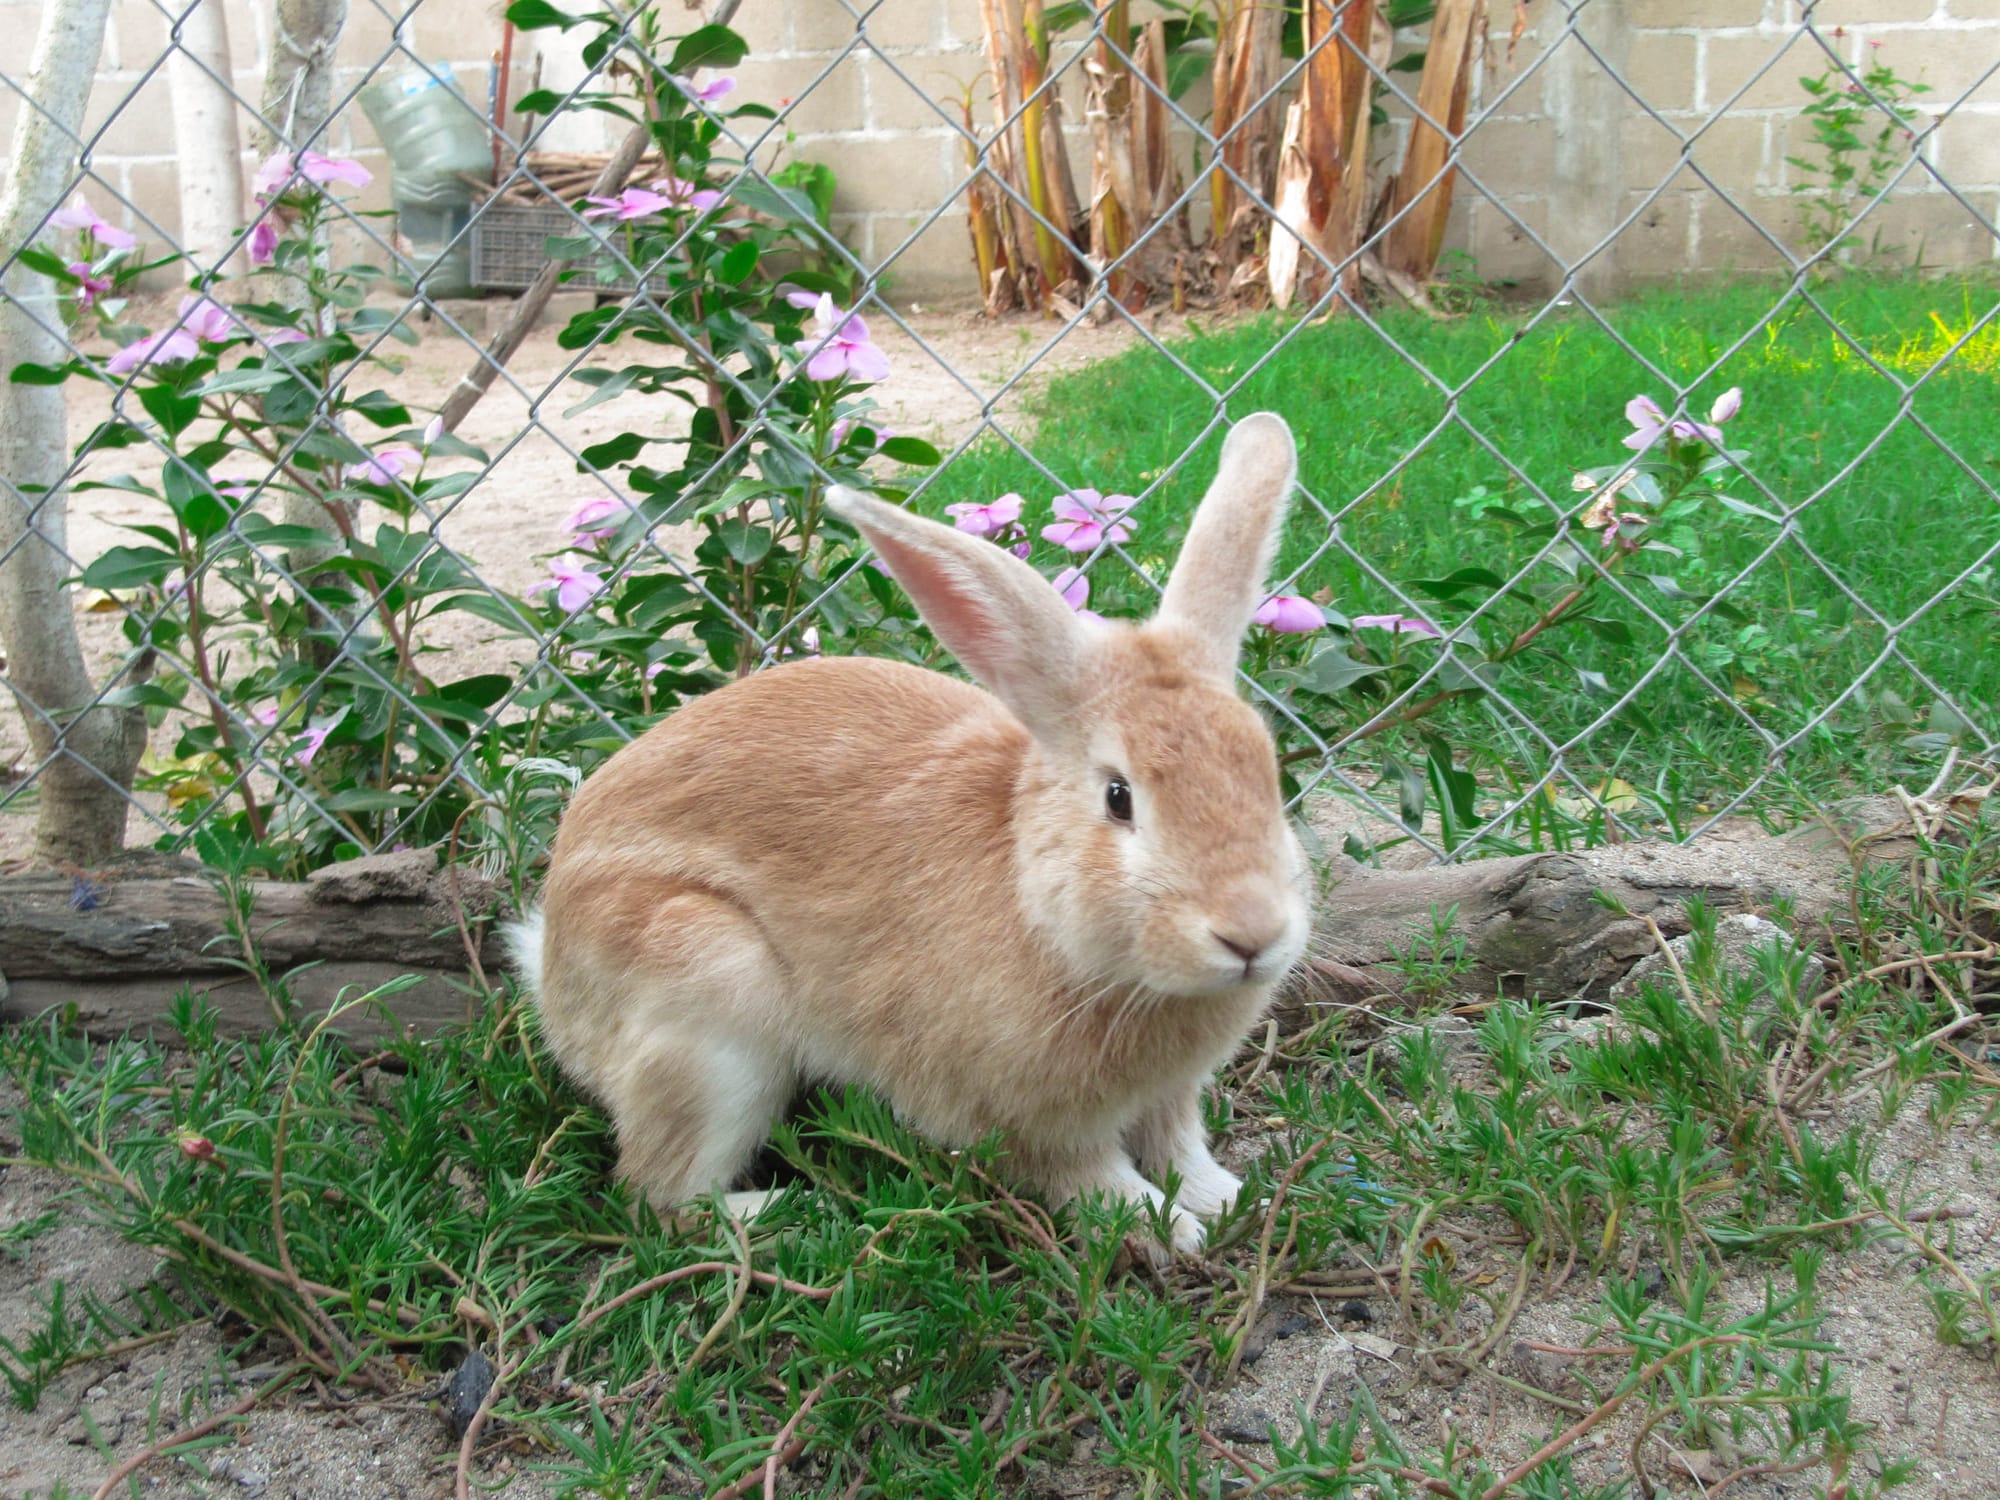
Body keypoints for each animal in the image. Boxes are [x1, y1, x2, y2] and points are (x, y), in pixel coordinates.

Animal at [511, 411, 1312, 1253]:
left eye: (1267, 773)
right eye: (1119, 798)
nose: (1252, 934)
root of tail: (551, 970)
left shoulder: (1170, 1099)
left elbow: (1180, 1145)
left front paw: (1230, 1200)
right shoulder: (1025, 1122)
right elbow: (1089, 1178)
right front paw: (1167, 1228)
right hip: (704, 1000)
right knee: (657, 1199)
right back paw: (793, 1212)